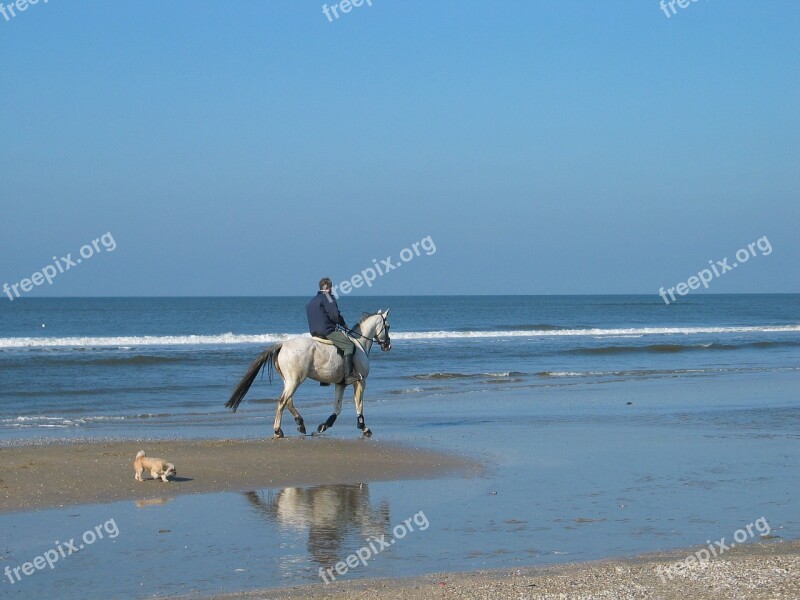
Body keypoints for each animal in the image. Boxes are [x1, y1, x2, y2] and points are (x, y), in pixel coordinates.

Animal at [225, 310, 390, 436]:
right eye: (388, 326)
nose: (388, 345)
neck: (359, 343)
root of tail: (282, 344)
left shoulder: (340, 384)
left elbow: (337, 408)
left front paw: (323, 426)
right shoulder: (360, 381)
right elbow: (359, 405)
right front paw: (364, 428)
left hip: (289, 380)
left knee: (288, 401)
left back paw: (300, 424)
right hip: (295, 380)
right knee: (282, 401)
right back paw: (278, 430)